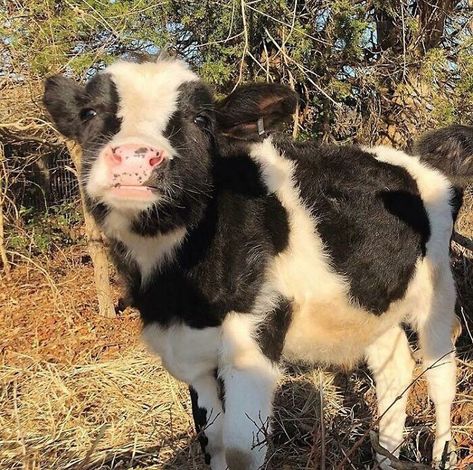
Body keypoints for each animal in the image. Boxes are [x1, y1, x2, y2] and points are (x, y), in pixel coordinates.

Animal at [43, 58, 458, 470]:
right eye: (89, 113)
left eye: (201, 120)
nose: (133, 156)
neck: (177, 293)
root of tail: (414, 161)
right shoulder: (192, 354)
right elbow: (212, 440)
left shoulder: (253, 339)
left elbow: (242, 448)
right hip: (369, 305)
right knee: (394, 366)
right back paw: (386, 455)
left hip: (438, 290)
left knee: (441, 372)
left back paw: (443, 453)